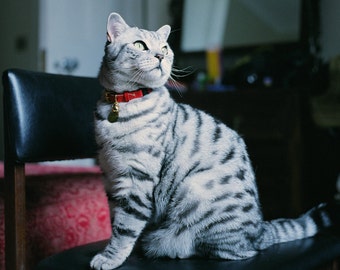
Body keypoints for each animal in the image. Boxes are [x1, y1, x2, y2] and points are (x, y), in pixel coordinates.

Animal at [90, 12, 338, 270]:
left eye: (165, 48)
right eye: (140, 45)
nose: (160, 56)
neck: (120, 103)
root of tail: (261, 230)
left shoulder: (136, 179)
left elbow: (125, 227)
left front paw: (110, 257)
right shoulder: (111, 175)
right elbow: (116, 221)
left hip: (195, 194)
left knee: (231, 250)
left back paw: (163, 247)